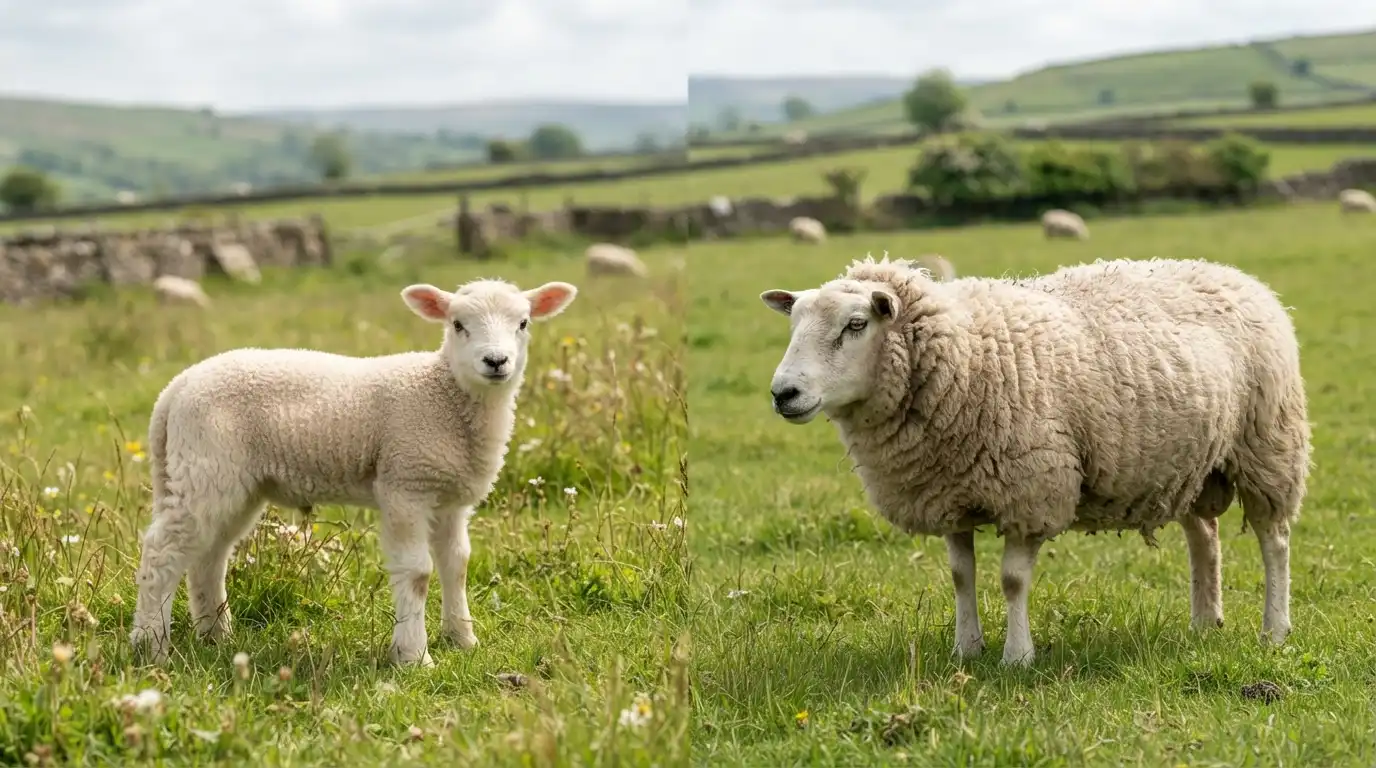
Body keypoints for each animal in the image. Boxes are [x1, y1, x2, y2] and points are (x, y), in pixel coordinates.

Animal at [129, 278, 579, 665]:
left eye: (523, 323)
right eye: (457, 324)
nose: (496, 361)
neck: (444, 394)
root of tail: (175, 389)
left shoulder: (449, 496)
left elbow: (457, 564)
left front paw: (463, 639)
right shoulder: (405, 484)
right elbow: (417, 572)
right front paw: (414, 656)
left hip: (232, 482)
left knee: (209, 557)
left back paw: (215, 636)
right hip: (207, 468)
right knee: (162, 553)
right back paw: (151, 646)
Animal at [759, 254, 1309, 666]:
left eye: (855, 325)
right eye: (793, 326)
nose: (783, 394)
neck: (964, 353)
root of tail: (1237, 276)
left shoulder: (1031, 487)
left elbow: (1011, 580)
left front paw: (1017, 656)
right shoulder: (948, 491)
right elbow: (960, 575)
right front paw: (967, 649)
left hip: (1268, 445)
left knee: (1275, 540)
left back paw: (1275, 630)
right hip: (1189, 464)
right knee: (1204, 539)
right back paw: (1204, 623)